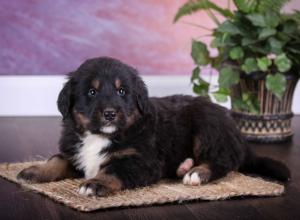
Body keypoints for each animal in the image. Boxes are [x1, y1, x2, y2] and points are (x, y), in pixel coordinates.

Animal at [16, 56, 290, 196]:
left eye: (122, 91)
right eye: (92, 92)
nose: (110, 113)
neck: (100, 136)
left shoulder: (141, 160)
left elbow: (113, 170)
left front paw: (95, 183)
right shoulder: (74, 150)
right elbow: (56, 160)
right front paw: (34, 171)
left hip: (207, 126)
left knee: (224, 161)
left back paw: (196, 173)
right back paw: (184, 166)